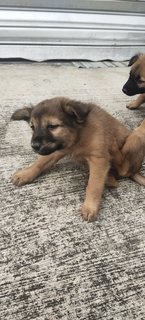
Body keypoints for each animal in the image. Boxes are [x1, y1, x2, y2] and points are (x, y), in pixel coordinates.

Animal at [10, 97, 145, 222]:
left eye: (52, 126)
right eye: (33, 127)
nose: (34, 146)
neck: (78, 135)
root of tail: (136, 171)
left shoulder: (98, 158)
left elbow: (94, 185)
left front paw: (90, 207)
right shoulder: (56, 149)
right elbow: (40, 162)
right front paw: (24, 174)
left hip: (135, 138)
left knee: (123, 168)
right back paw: (109, 178)